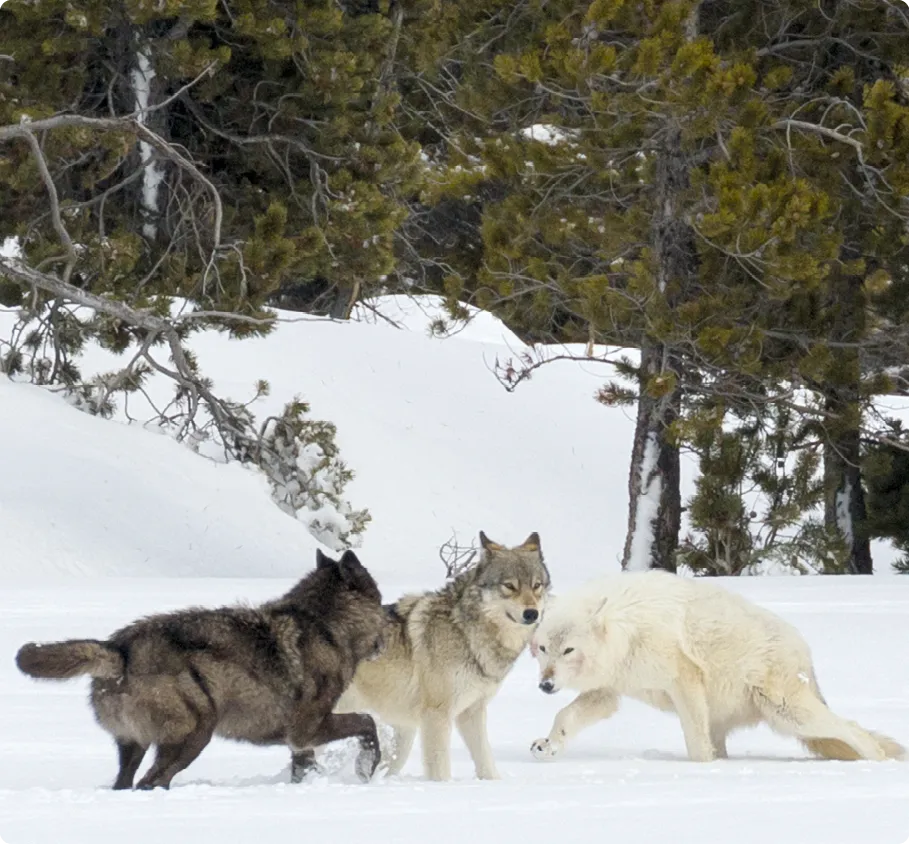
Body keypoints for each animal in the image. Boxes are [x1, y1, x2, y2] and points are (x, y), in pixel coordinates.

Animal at [15, 548, 388, 792]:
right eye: (382, 601)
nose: (388, 632)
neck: (325, 625)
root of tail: (120, 650)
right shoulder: (308, 729)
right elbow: (368, 723)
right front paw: (366, 768)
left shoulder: (299, 743)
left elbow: (304, 768)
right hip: (195, 736)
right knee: (151, 782)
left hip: (137, 747)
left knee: (126, 783)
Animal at [302, 532, 548, 780]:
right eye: (509, 586)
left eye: (537, 586)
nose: (532, 613)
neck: (465, 631)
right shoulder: (437, 715)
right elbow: (440, 770)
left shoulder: (472, 712)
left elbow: (486, 762)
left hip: (401, 737)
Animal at [528, 572, 904, 764]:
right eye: (543, 649)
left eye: (569, 649)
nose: (544, 685)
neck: (628, 629)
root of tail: (804, 651)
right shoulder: (607, 692)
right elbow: (565, 716)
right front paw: (548, 745)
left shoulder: (684, 681)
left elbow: (696, 746)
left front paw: (703, 773)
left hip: (789, 715)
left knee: (852, 729)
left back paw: (877, 761)